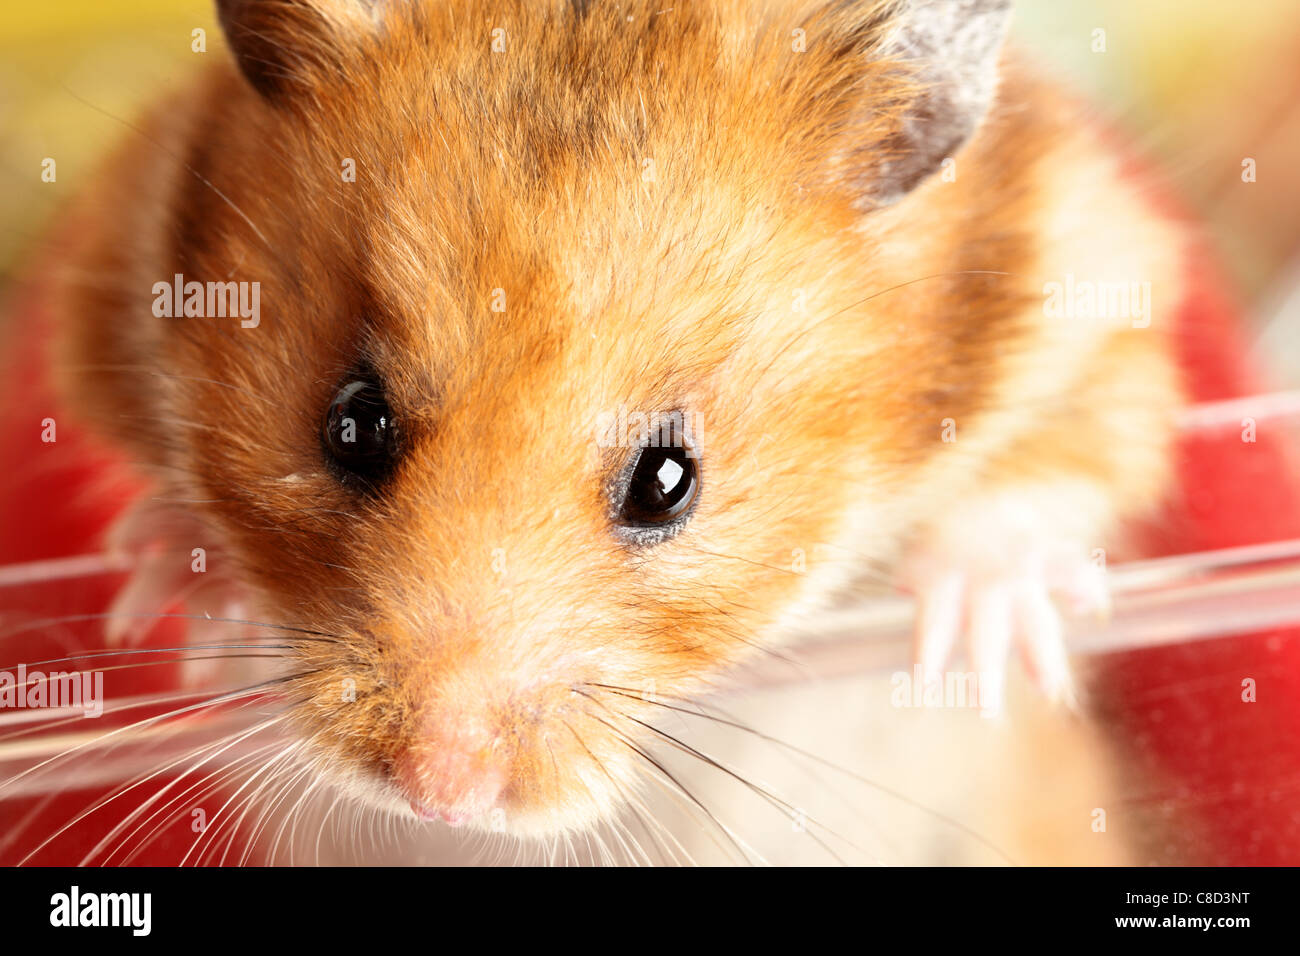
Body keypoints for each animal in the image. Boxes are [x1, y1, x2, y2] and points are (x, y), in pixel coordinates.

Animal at [48, 0, 1190, 837]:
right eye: (352, 425)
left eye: (668, 481)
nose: (438, 795)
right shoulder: (121, 244)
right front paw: (176, 592)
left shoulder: (1097, 301)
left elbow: (1054, 469)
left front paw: (969, 647)